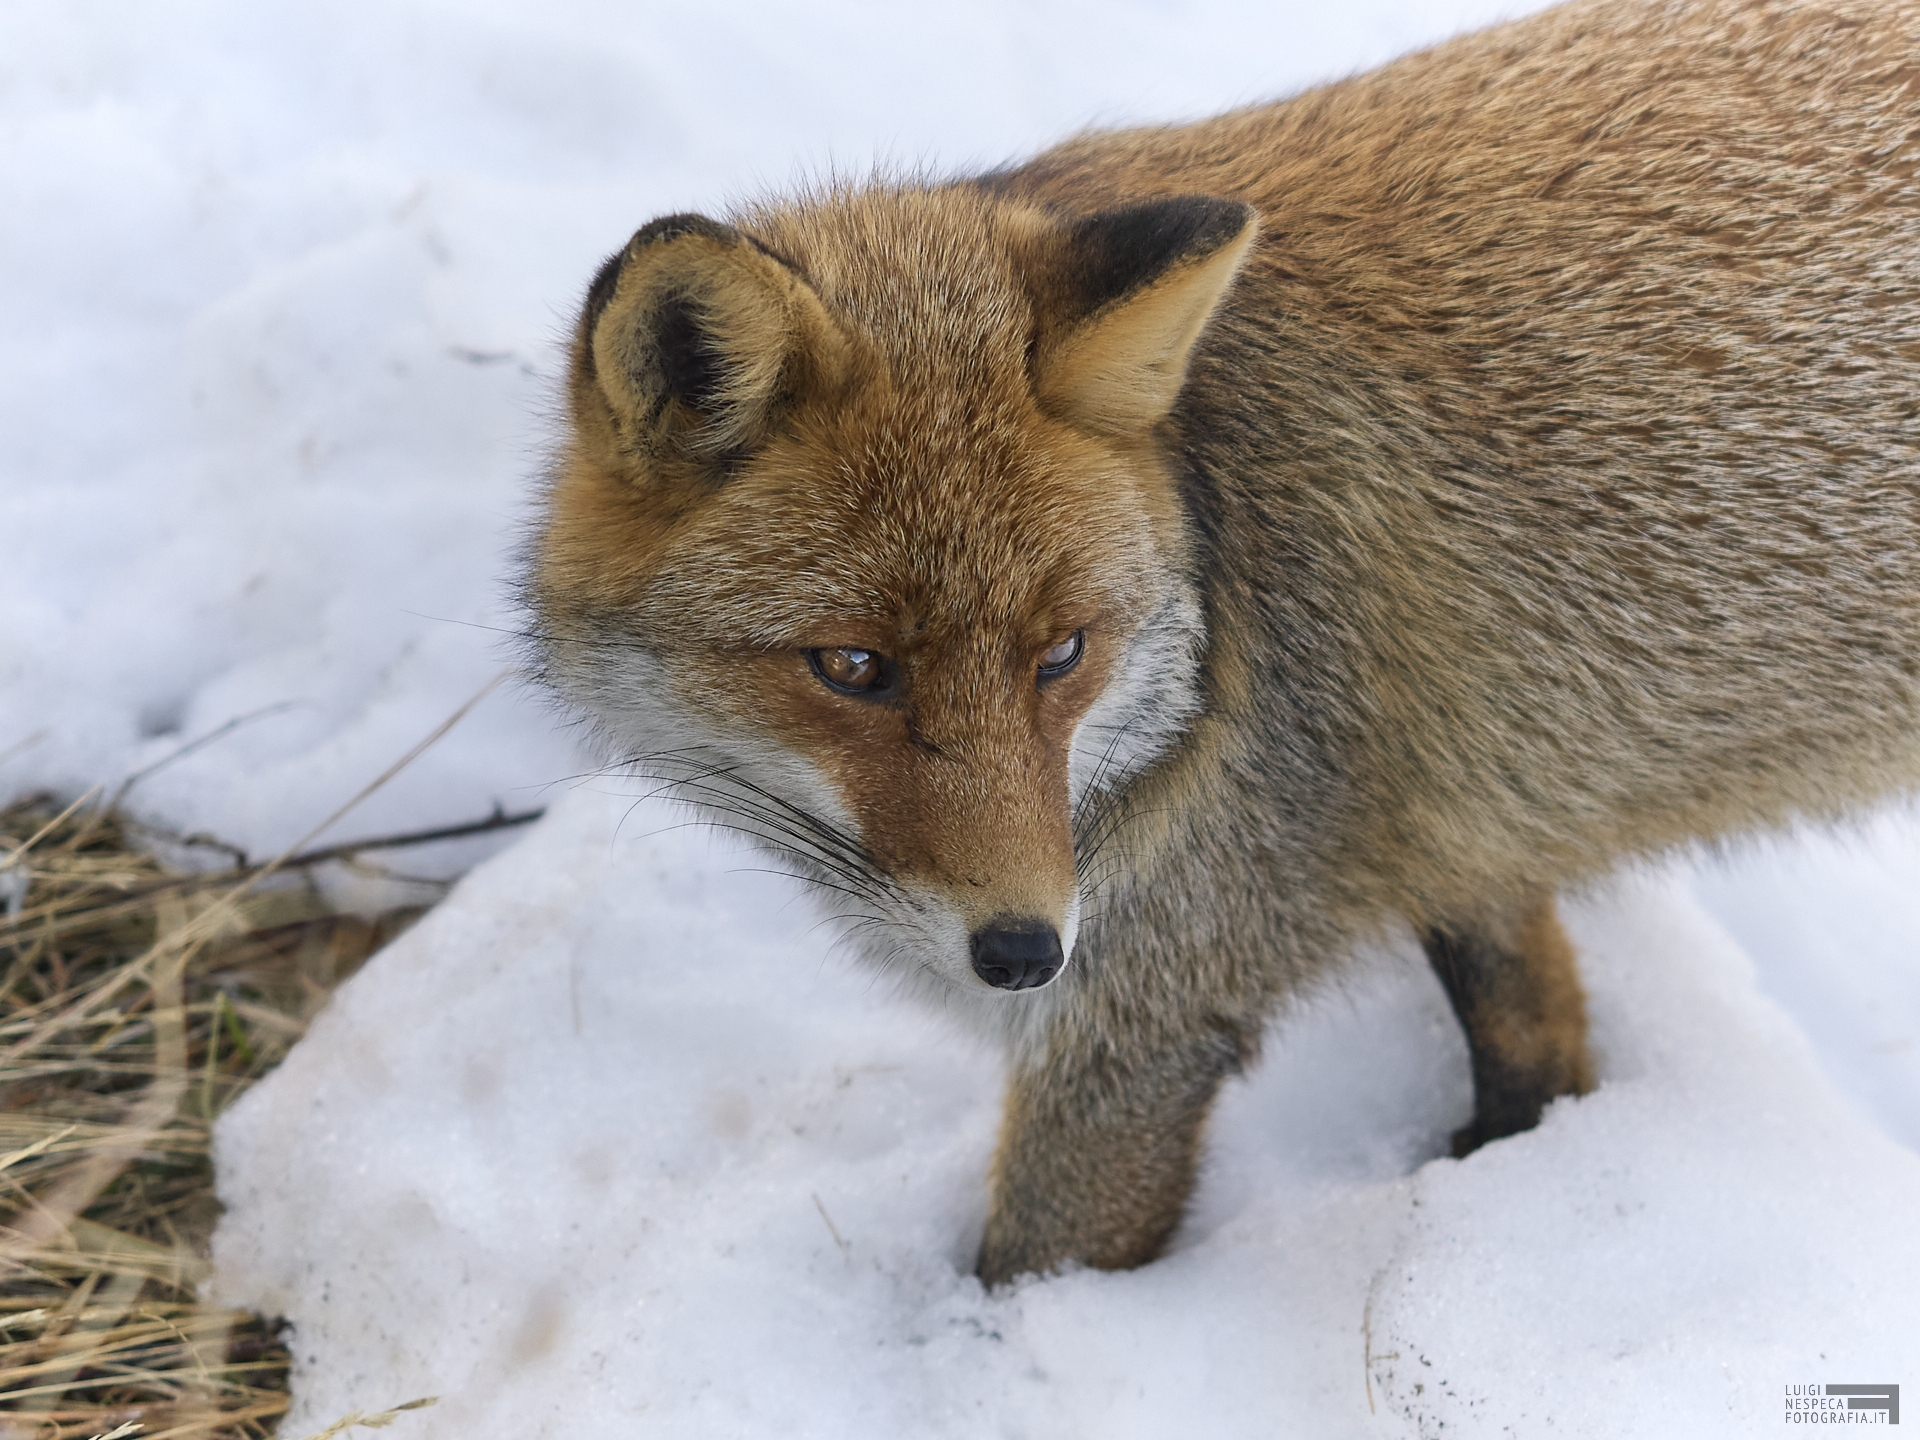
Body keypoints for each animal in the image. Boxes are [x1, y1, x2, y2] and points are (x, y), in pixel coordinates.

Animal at [523, 0, 1920, 1287]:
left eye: (1062, 653)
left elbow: (1023, 1273)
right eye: (854, 667)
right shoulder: (1468, 830)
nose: (1022, 954)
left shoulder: (1146, 1012)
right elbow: (1531, 1022)